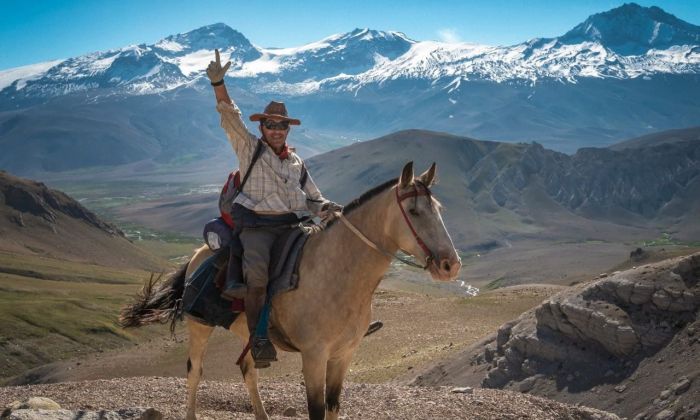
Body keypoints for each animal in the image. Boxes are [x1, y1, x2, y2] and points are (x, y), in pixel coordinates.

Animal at [120, 162, 460, 420]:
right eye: (414, 211)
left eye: (439, 208)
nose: (450, 265)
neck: (339, 273)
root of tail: (197, 254)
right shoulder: (314, 356)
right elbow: (316, 410)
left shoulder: (343, 356)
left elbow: (334, 408)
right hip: (199, 325)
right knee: (195, 371)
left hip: (247, 332)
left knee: (248, 370)